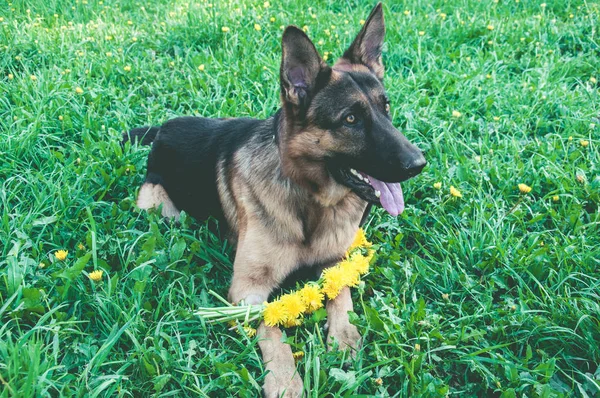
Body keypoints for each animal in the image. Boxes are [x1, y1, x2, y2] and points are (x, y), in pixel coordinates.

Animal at [125, 3, 426, 394]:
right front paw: (285, 380)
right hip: (161, 210)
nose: (419, 163)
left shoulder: (335, 260)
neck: (309, 200)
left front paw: (344, 335)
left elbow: (341, 294)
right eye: (350, 119)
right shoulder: (247, 291)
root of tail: (163, 129)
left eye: (385, 108)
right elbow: (271, 324)